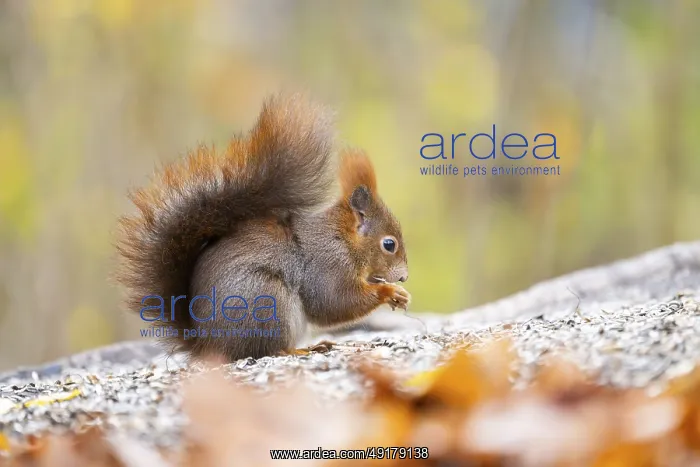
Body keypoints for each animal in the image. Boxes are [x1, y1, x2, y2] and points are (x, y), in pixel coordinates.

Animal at [116, 93, 410, 361]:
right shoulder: (328, 264)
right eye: (389, 244)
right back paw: (301, 349)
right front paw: (389, 292)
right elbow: (333, 302)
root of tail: (208, 345)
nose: (404, 277)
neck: (343, 238)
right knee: (266, 350)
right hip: (268, 301)